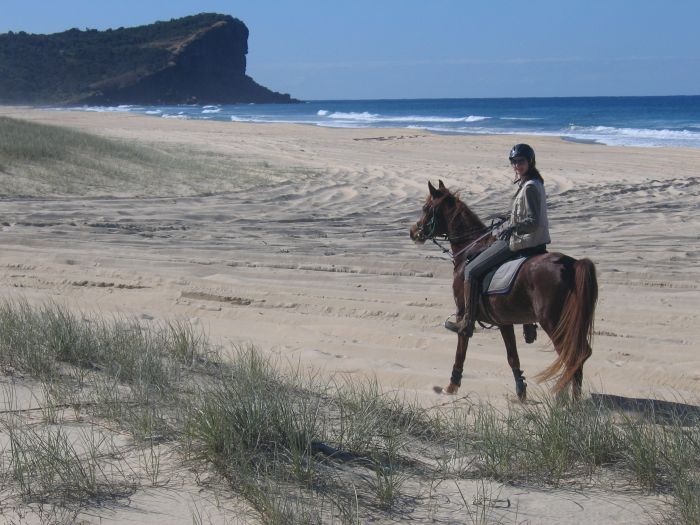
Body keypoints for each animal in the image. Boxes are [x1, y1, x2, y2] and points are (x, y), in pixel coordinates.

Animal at [410, 178, 596, 400]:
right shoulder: (504, 322)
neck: (470, 250)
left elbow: (461, 351)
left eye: (425, 208)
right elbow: (512, 357)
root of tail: (571, 264)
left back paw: (569, 400)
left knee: (574, 355)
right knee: (579, 354)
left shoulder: (463, 314)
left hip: (554, 322)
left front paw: (452, 385)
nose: (413, 232)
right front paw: (521, 392)